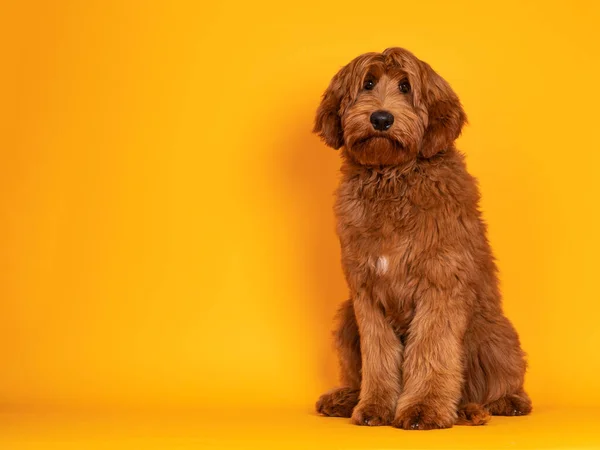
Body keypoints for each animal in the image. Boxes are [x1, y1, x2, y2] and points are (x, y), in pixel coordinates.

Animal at [312, 48, 532, 428]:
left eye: (405, 86)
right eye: (368, 83)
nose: (381, 118)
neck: (392, 178)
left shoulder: (440, 283)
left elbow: (431, 349)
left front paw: (423, 409)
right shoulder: (366, 294)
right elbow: (378, 356)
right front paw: (374, 407)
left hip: (492, 332)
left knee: (500, 381)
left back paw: (502, 402)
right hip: (345, 318)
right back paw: (345, 398)